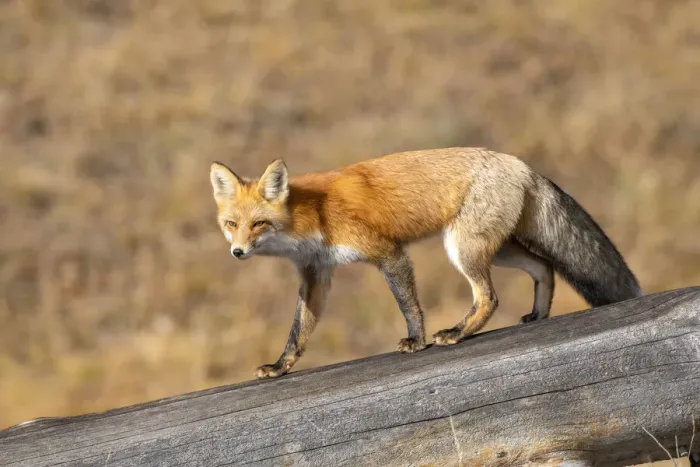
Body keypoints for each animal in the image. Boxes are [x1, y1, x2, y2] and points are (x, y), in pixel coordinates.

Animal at [209, 147, 642, 379]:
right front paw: (279, 366)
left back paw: (457, 332)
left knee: (489, 297)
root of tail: (519, 163)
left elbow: (409, 305)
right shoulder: (316, 275)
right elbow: (298, 332)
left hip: (463, 248)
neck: (311, 214)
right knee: (543, 268)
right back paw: (537, 314)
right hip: (497, 249)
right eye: (231, 225)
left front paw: (416, 341)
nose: (237, 253)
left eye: (258, 224)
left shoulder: (388, 253)